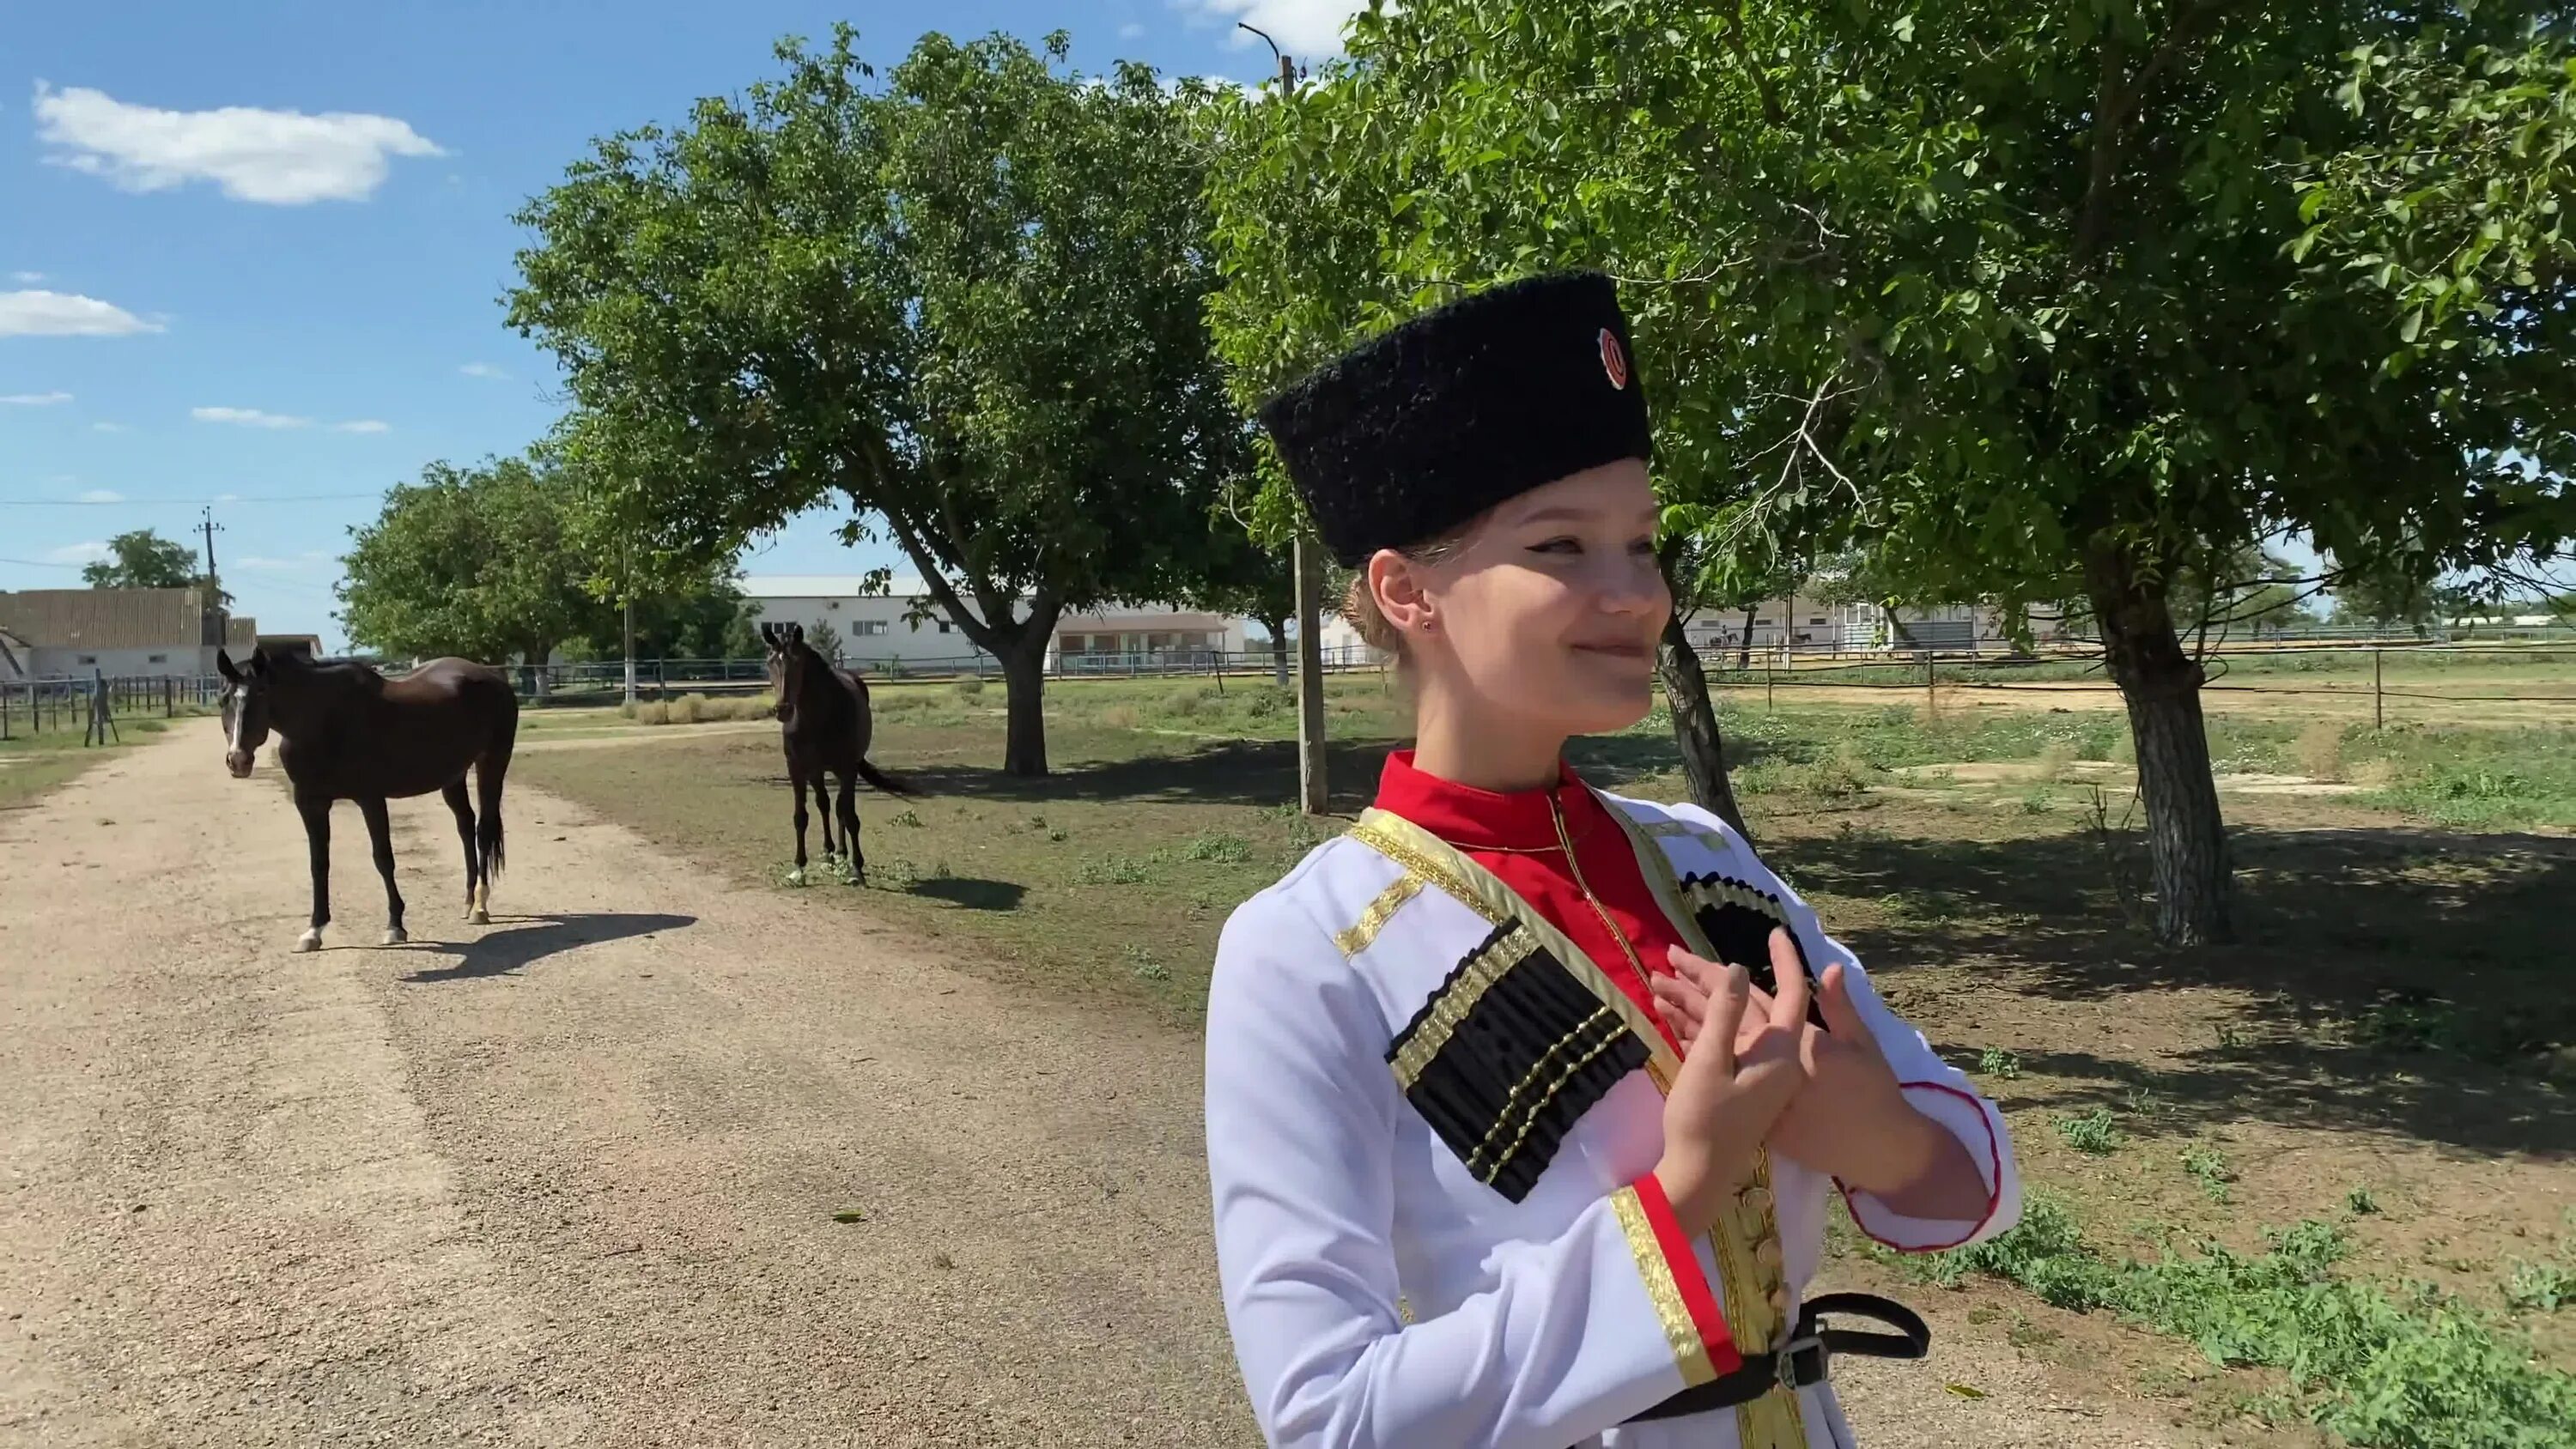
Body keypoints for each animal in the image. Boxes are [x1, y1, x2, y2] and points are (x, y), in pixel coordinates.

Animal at [222, 646, 523, 952]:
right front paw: (314, 931)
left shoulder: (370, 798)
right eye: (224, 700)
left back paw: (480, 906)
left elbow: (383, 859)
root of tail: (494, 678)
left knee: (483, 829)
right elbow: (319, 864)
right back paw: (468, 901)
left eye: (261, 693)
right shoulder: (310, 803)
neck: (324, 720)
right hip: (453, 775)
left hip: (492, 762)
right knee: (465, 826)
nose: (238, 760)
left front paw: (395, 926)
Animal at [757, 620, 912, 885]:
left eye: (797, 662)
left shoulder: (848, 769)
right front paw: (799, 867)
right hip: (817, 772)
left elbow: (849, 815)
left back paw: (841, 853)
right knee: (825, 804)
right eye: (770, 662)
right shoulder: (797, 770)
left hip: (842, 771)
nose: (783, 710)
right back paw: (829, 852)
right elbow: (801, 816)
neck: (818, 717)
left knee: (841, 810)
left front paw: (857, 868)